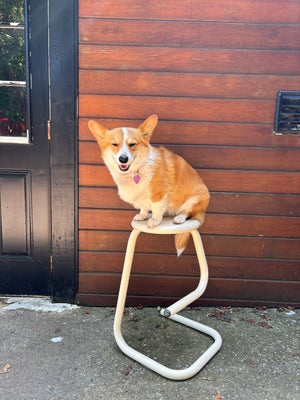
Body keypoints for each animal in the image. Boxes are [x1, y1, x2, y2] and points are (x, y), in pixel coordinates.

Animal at [88, 113, 210, 256]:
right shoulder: (141, 195)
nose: (123, 159)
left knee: (187, 213)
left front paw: (154, 220)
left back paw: (179, 217)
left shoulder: (159, 194)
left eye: (132, 144)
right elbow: (143, 206)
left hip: (194, 200)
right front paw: (142, 215)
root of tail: (203, 211)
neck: (137, 169)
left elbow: (157, 208)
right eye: (114, 144)